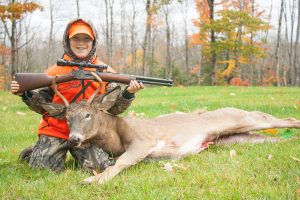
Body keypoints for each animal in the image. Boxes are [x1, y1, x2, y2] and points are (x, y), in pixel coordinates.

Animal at [44, 72, 300, 184]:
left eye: (88, 114)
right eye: (67, 118)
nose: (73, 139)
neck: (116, 133)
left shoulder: (144, 139)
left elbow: (121, 162)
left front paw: (93, 180)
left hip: (238, 118)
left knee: (275, 118)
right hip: (234, 138)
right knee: (273, 138)